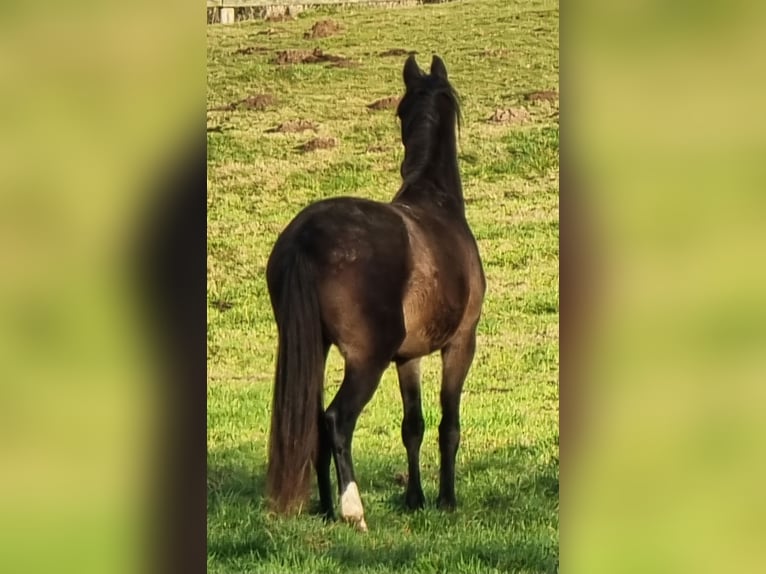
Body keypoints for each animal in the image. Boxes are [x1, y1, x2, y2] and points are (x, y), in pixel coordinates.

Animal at [264, 54, 486, 531]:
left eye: (401, 110)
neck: (437, 204)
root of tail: (304, 235)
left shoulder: (409, 357)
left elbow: (413, 425)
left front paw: (415, 499)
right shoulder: (461, 343)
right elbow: (449, 424)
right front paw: (446, 500)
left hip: (317, 348)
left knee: (313, 422)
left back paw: (327, 508)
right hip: (367, 360)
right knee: (336, 420)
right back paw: (353, 511)